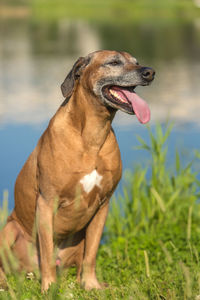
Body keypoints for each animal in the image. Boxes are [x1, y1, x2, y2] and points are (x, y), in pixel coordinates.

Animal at [0, 50, 155, 292]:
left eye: (136, 62)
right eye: (113, 62)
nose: (150, 72)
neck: (92, 136)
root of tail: (28, 272)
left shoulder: (103, 206)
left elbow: (91, 254)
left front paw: (91, 285)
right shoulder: (46, 202)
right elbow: (46, 253)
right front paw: (49, 289)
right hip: (9, 231)